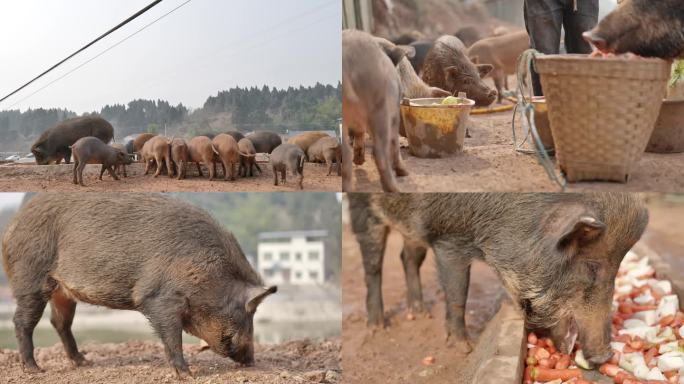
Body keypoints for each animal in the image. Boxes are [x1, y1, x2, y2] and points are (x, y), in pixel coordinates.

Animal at [3, 195, 276, 378]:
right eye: (248, 311)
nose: (251, 360)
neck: (206, 274)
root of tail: (10, 227)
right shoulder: (157, 297)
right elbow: (172, 336)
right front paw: (187, 375)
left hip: (62, 291)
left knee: (59, 322)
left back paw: (84, 363)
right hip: (31, 277)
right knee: (22, 322)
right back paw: (35, 370)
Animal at [340, 29, 406, 192]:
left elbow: (359, 132)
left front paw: (359, 160)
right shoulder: (394, 111)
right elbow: (395, 141)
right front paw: (403, 172)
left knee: (346, 153)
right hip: (379, 107)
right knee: (379, 152)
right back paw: (394, 189)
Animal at [350, 194, 648, 364]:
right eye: (591, 267)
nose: (606, 356)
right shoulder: (450, 238)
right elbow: (458, 293)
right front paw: (465, 349)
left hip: (410, 229)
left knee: (408, 257)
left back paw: (419, 313)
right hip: (364, 210)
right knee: (373, 266)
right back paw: (377, 327)